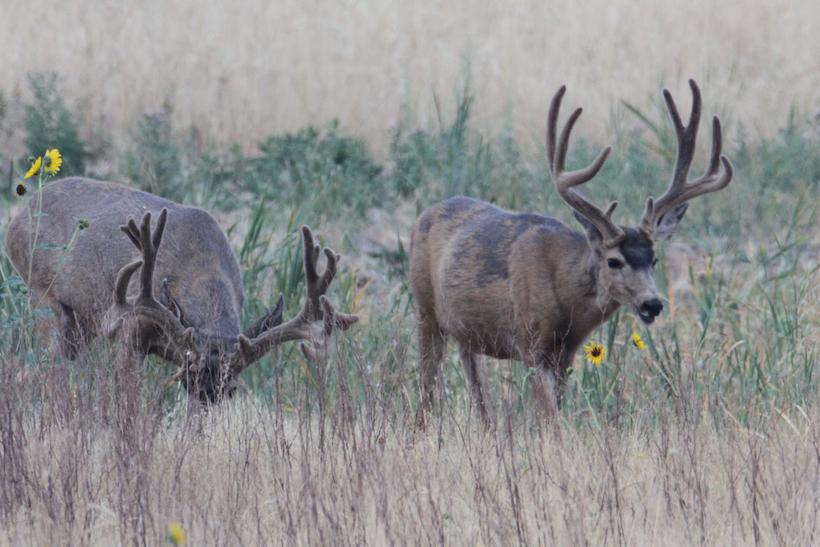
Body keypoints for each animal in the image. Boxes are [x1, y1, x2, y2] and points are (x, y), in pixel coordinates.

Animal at [4, 177, 358, 404]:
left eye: (229, 389)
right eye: (189, 379)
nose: (203, 410)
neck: (201, 271)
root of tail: (18, 217)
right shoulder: (131, 327)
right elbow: (126, 400)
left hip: (82, 324)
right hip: (43, 297)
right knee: (42, 366)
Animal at [410, 80, 733, 426]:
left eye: (654, 259)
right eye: (613, 261)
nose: (653, 303)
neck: (564, 297)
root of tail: (424, 214)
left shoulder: (566, 355)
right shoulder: (531, 344)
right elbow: (550, 421)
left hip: (464, 331)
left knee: (476, 387)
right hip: (425, 310)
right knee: (427, 386)